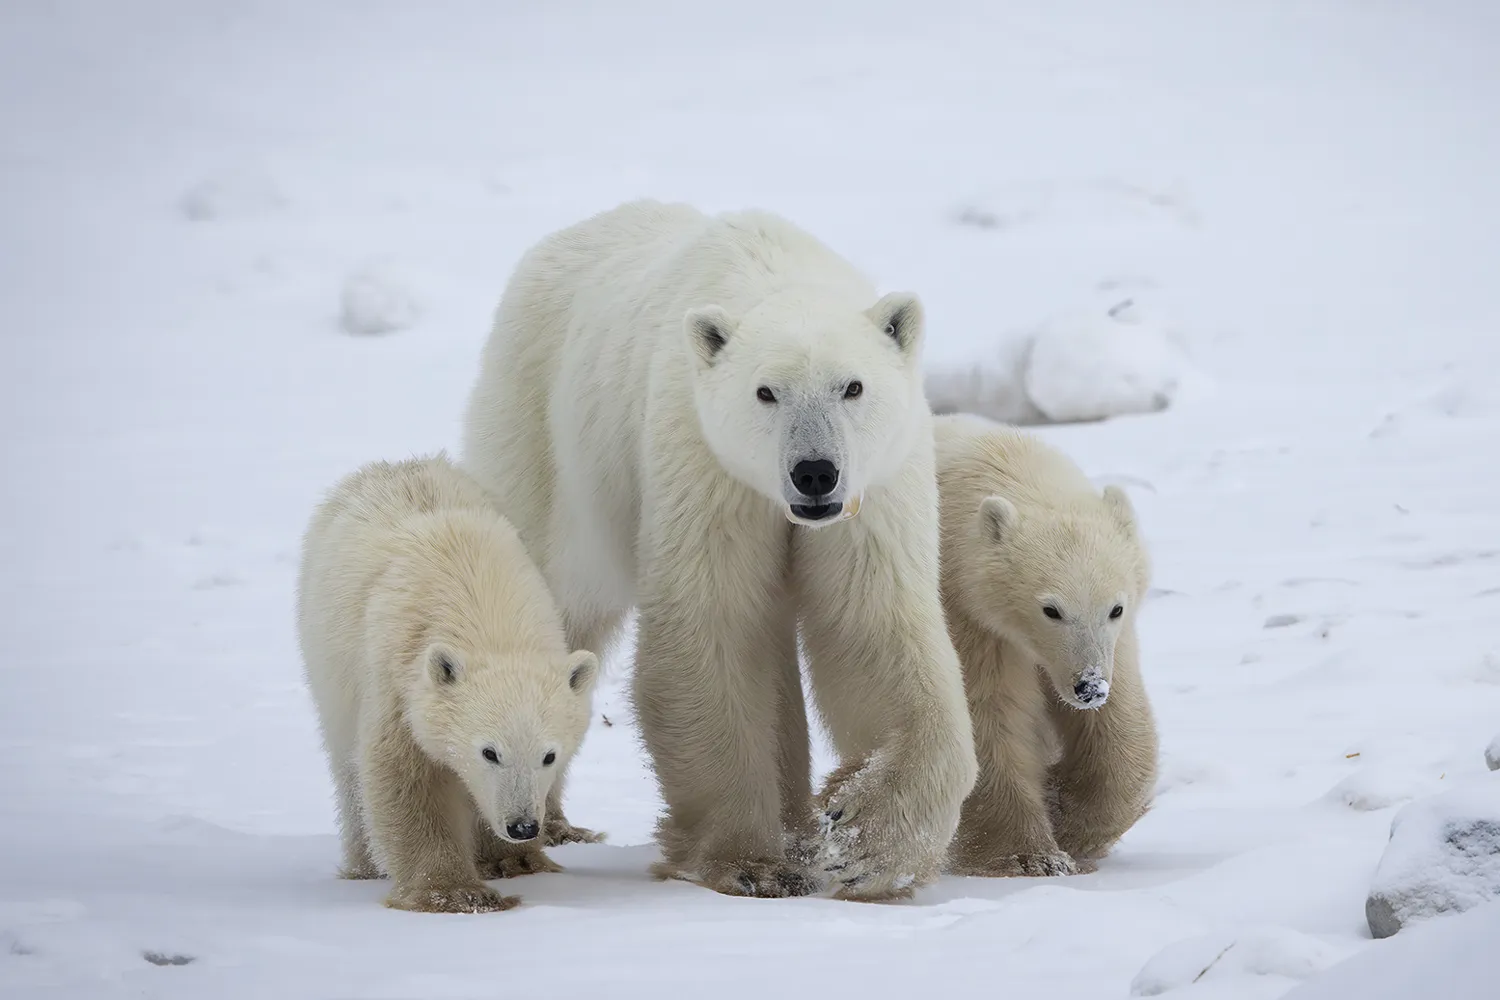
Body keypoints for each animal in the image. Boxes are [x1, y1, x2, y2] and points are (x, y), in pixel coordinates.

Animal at [295, 453, 601, 913]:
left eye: (549, 755)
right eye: (489, 752)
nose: (523, 826)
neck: (486, 611)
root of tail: (395, 464)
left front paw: (515, 861)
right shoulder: (401, 679)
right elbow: (407, 777)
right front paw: (455, 892)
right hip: (328, 660)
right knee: (347, 765)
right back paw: (364, 865)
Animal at [461, 199, 977, 901]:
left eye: (852, 386)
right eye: (766, 391)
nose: (815, 473)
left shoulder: (874, 491)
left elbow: (872, 627)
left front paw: (864, 842)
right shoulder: (705, 464)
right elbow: (714, 630)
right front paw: (751, 864)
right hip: (544, 440)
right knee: (549, 602)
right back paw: (525, 836)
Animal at [933, 413, 1158, 877]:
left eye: (1115, 608)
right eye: (1051, 610)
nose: (1089, 687)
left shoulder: (1116, 644)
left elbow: (1120, 724)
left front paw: (1070, 818)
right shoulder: (971, 615)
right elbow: (991, 716)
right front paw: (1033, 856)